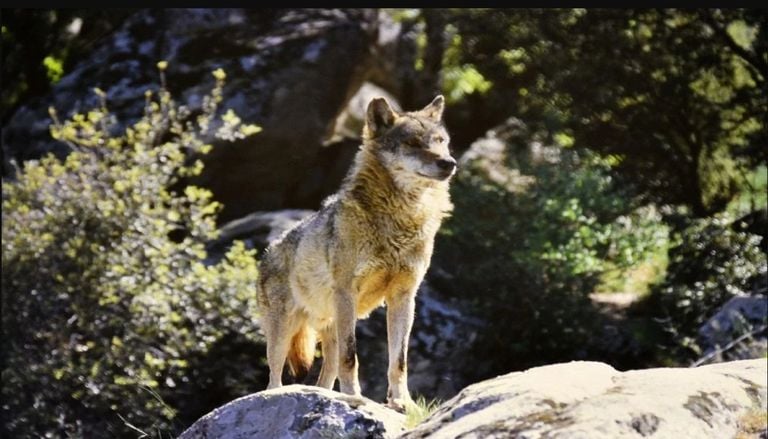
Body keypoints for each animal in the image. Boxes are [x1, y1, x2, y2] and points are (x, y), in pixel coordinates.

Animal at [256, 95, 455, 409]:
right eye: (412, 143)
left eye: (441, 141)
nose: (449, 163)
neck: (399, 221)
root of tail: (268, 250)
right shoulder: (347, 293)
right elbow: (351, 356)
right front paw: (353, 396)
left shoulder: (403, 297)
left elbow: (399, 360)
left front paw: (402, 403)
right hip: (285, 330)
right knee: (274, 376)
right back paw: (276, 396)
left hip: (329, 328)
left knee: (324, 377)